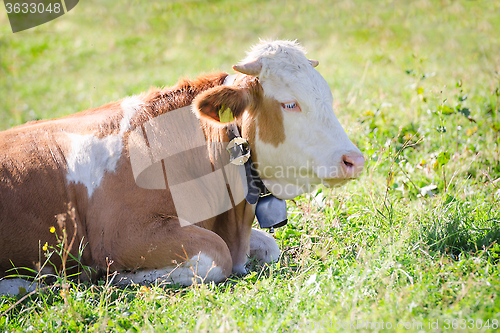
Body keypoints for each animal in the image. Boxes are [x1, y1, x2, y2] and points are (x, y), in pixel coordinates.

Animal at [0, 39, 364, 294]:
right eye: (290, 104)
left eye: (328, 99)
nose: (354, 159)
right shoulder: (121, 236)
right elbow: (217, 256)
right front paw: (119, 277)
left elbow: (269, 245)